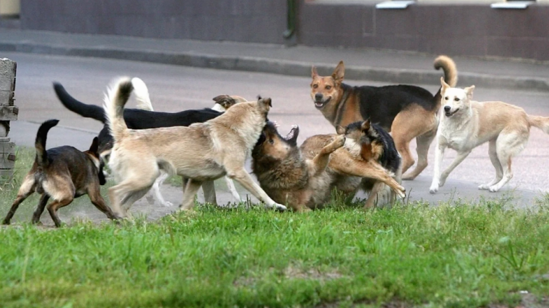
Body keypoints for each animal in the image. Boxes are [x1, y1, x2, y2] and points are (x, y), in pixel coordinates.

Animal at [102, 77, 286, 217]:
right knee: (113, 192)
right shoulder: (238, 172)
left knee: (125, 203)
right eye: (266, 123)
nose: (271, 134)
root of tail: (125, 134)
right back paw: (118, 217)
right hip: (144, 178)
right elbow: (260, 192)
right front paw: (275, 205)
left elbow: (201, 200)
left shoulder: (200, 179)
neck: (232, 126)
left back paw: (127, 222)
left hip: (144, 183)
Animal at [250, 122, 404, 212]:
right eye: (270, 141)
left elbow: (324, 151)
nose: (266, 123)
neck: (283, 169)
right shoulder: (301, 208)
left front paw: (334, 144)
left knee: (383, 174)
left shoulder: (316, 166)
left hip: (347, 165)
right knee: (381, 173)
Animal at [308, 56, 458, 180]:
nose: (318, 96)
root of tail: (431, 101)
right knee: (423, 162)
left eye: (328, 87)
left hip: (399, 134)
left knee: (409, 160)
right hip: (423, 139)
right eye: (315, 86)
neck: (342, 99)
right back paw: (408, 176)